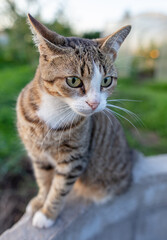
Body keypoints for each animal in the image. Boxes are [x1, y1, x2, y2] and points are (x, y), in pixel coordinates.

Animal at [16, 13, 133, 229]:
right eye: (73, 80)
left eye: (106, 81)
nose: (95, 103)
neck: (55, 110)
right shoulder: (37, 154)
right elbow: (43, 180)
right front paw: (39, 201)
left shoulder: (74, 158)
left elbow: (59, 188)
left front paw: (47, 214)